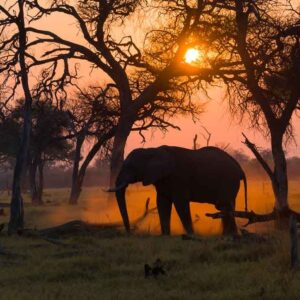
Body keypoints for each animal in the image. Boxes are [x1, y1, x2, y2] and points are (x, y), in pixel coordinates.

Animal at [109, 145, 247, 234]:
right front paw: (165, 236)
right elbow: (162, 203)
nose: (129, 232)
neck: (152, 150)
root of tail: (239, 167)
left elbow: (180, 203)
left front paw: (191, 235)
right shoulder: (161, 179)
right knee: (226, 207)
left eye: (129, 167)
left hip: (228, 181)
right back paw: (229, 236)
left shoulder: (179, 178)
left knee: (224, 205)